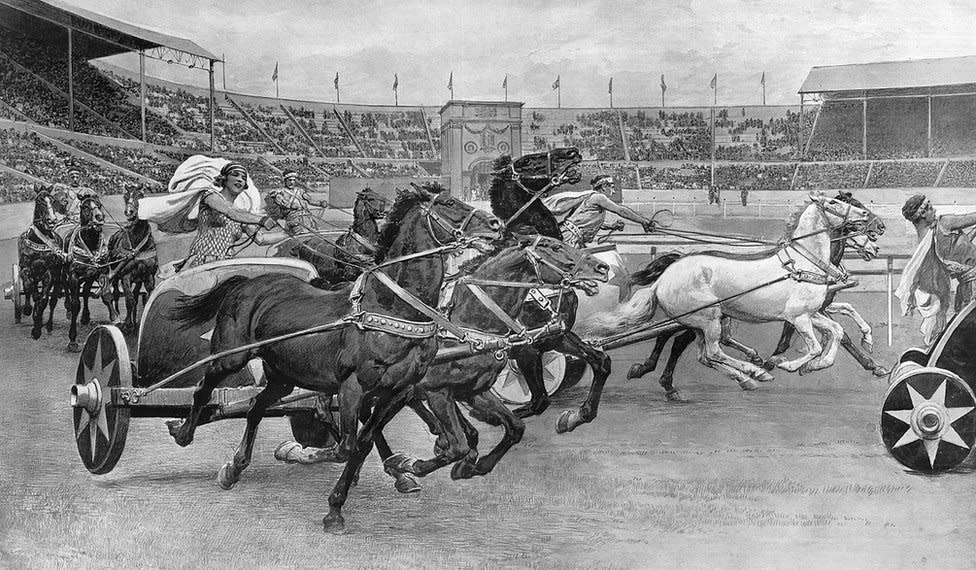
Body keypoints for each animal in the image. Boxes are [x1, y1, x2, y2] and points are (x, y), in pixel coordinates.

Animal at [17, 185, 66, 338]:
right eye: (39, 200)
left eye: (53, 200)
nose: (52, 220)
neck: (39, 241)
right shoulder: (25, 269)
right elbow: (28, 287)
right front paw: (29, 310)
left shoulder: (48, 273)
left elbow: (44, 299)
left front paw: (37, 327)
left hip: (58, 279)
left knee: (52, 301)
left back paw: (48, 324)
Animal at [107, 184, 158, 330]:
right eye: (125, 197)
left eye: (139, 197)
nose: (129, 212)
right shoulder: (125, 276)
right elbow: (129, 300)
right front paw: (127, 323)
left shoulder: (148, 276)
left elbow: (145, 299)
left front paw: (138, 323)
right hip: (115, 276)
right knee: (117, 294)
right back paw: (119, 317)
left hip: (138, 279)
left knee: (135, 293)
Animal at [168, 183, 500, 532]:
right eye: (448, 202)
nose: (495, 224)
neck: (391, 308)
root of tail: (247, 283)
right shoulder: (353, 387)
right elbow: (345, 448)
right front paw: (315, 470)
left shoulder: (398, 391)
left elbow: (363, 444)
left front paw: (365, 489)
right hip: (231, 358)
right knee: (204, 388)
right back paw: (184, 432)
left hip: (283, 377)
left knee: (256, 407)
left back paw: (235, 467)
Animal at [584, 191, 880, 390]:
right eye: (834, 203)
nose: (876, 224)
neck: (803, 262)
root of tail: (664, 278)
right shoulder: (798, 317)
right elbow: (816, 345)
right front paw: (786, 363)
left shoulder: (812, 313)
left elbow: (837, 332)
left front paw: (816, 365)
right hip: (708, 318)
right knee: (711, 352)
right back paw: (753, 372)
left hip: (703, 320)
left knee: (704, 354)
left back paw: (747, 374)